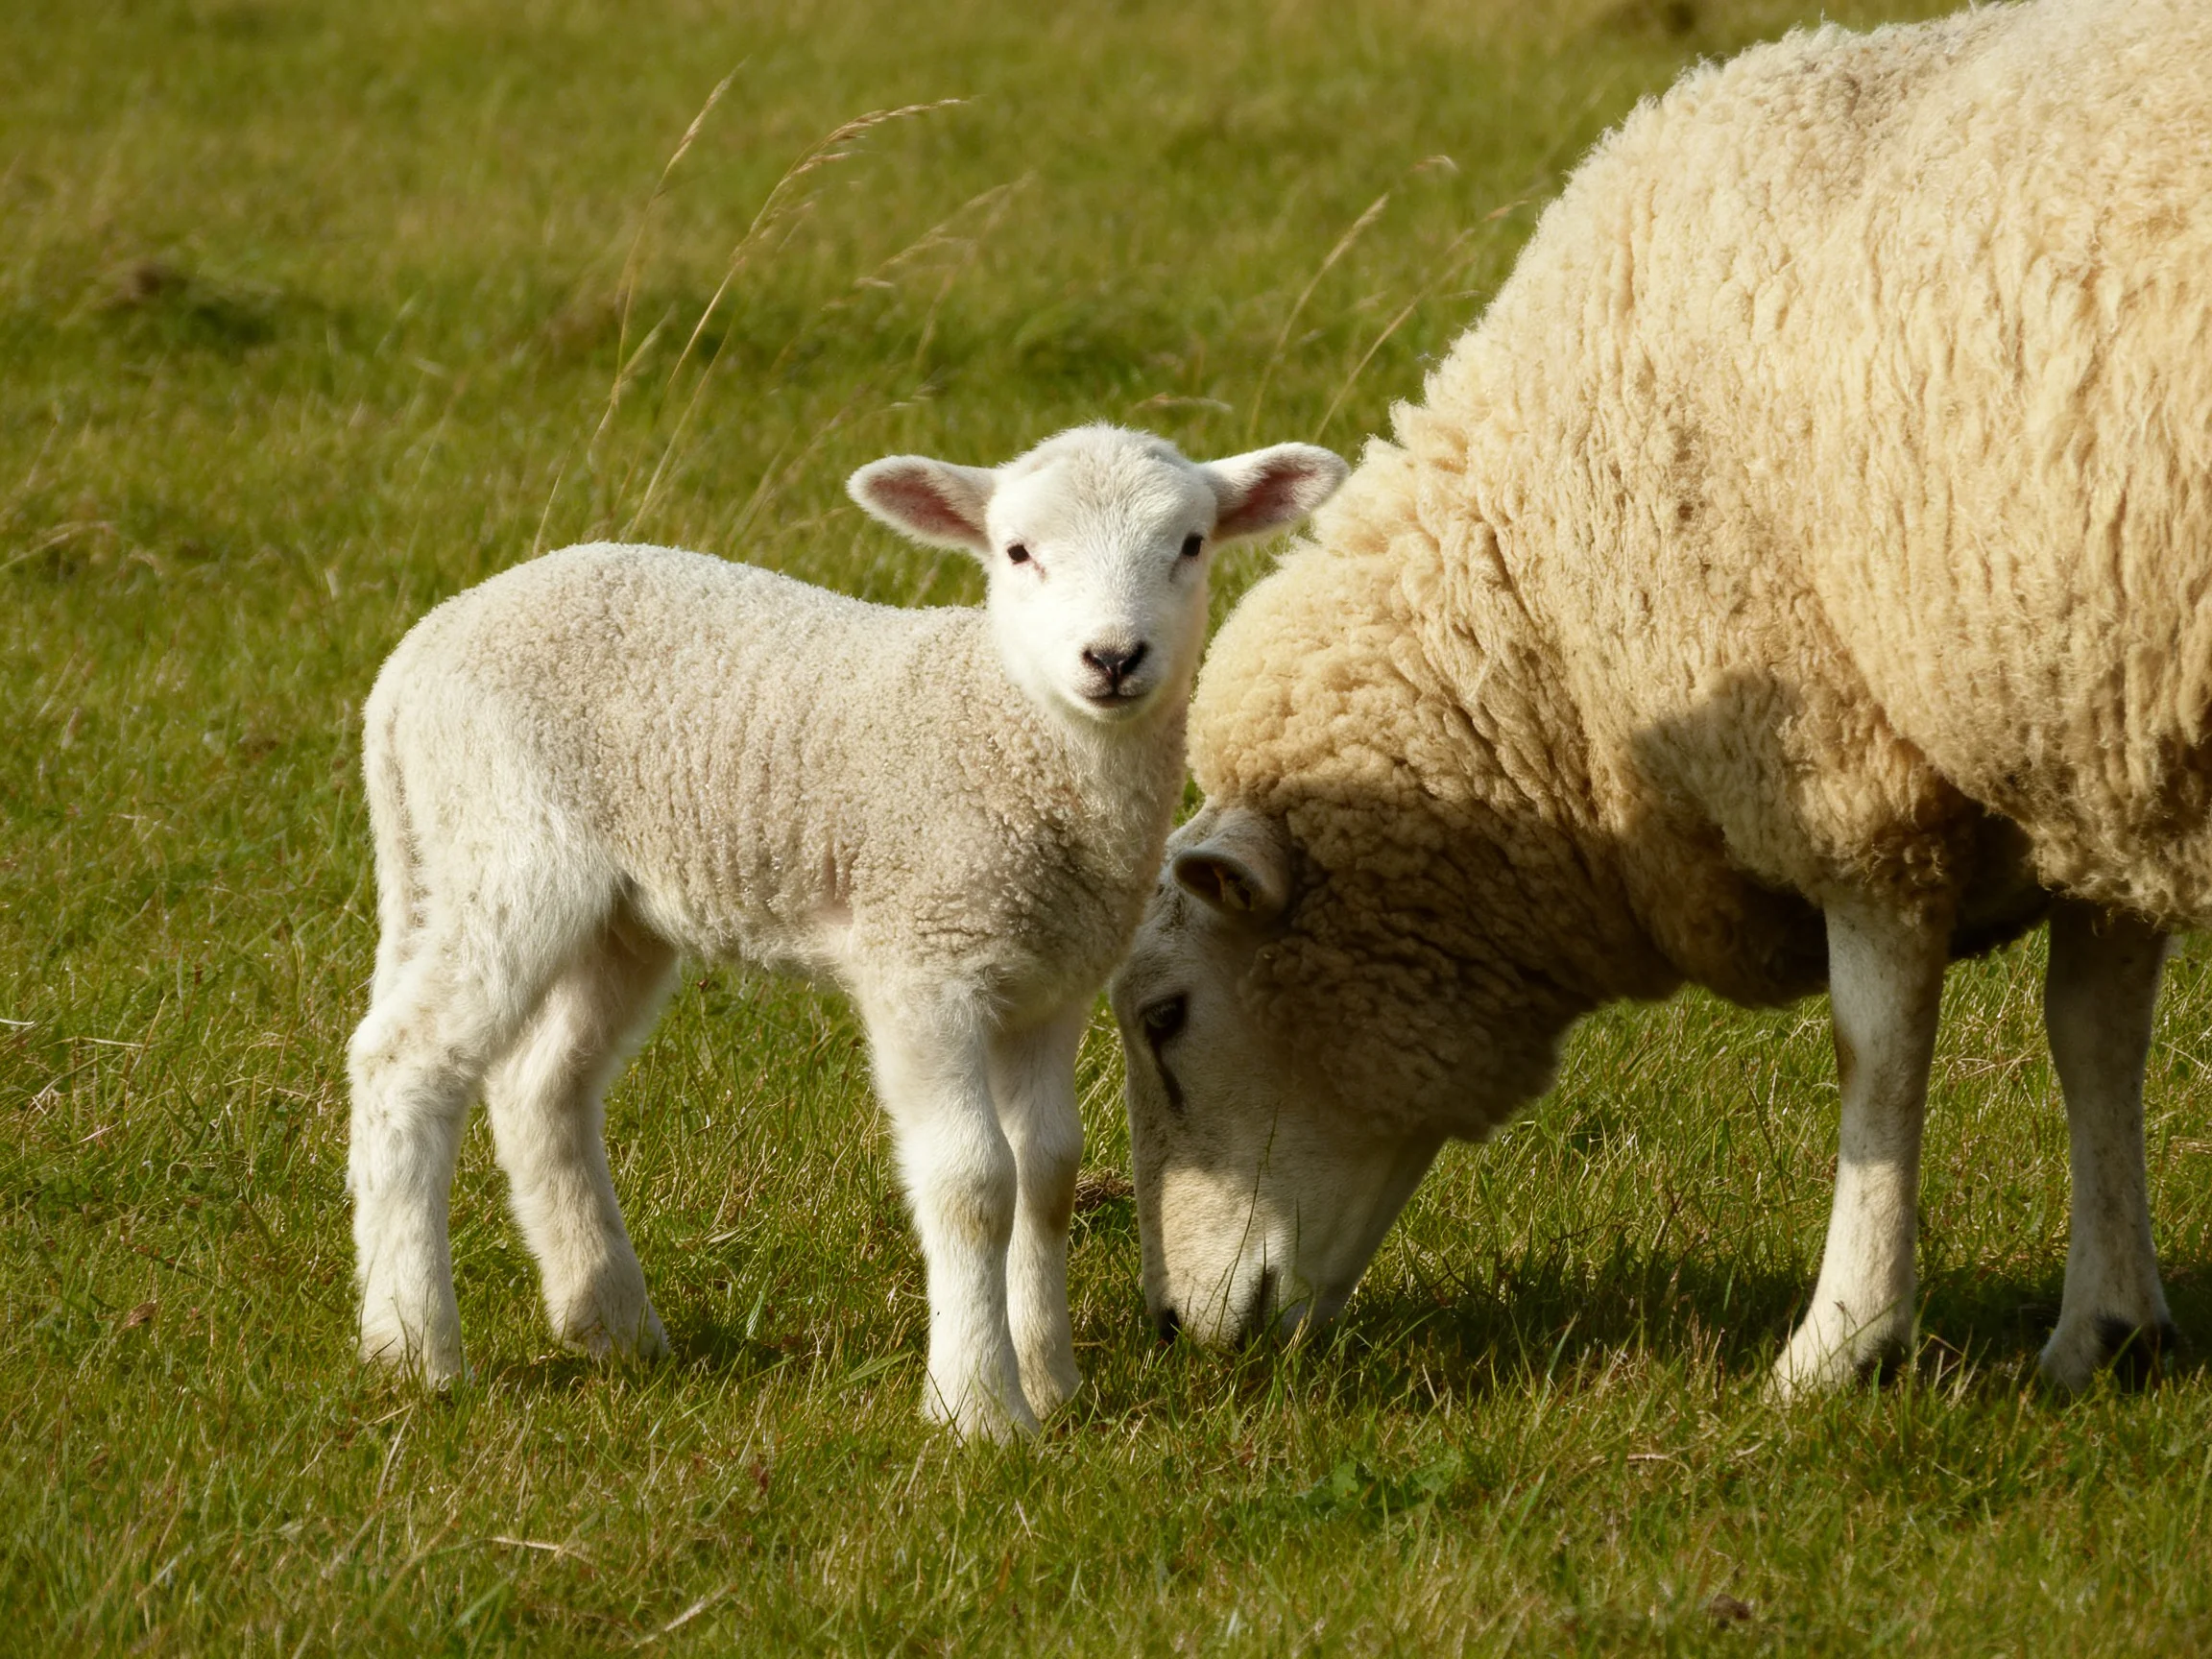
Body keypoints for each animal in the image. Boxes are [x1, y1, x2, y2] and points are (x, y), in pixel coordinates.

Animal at [346, 424, 1346, 1438]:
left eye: (1190, 545)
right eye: (1018, 552)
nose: (1112, 657)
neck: (1016, 735)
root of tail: (411, 661)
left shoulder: (1047, 982)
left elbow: (1049, 1174)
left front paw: (1051, 1381)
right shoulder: (923, 962)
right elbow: (975, 1183)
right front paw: (978, 1407)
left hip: (617, 913)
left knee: (542, 1085)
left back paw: (612, 1322)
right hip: (504, 848)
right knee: (404, 1062)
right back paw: (414, 1347)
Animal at [1108, 0, 2212, 1396]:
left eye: (1165, 1016)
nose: (1162, 1325)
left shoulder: (1846, 769)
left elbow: (1877, 1049)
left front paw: (1839, 1345)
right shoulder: (2085, 741)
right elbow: (2096, 1037)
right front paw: (2106, 1328)